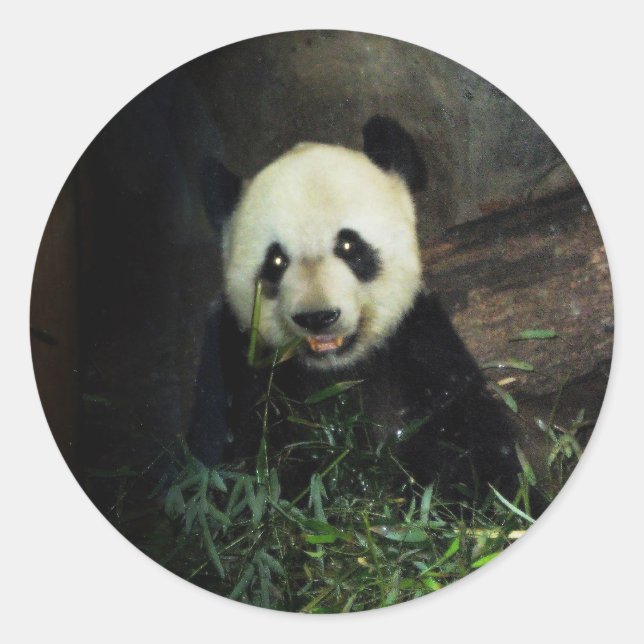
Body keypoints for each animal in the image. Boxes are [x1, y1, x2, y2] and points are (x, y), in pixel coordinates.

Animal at [188, 116, 522, 502]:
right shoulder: (239, 364)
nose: (318, 317)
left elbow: (470, 443)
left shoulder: (418, 346)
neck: (338, 370)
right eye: (276, 261)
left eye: (348, 245)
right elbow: (246, 467)